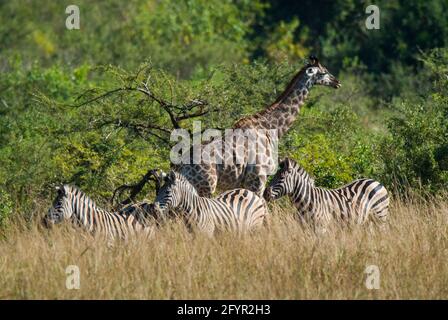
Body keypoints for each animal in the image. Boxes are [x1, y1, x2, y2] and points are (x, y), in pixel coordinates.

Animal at [175, 56, 340, 196]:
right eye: (324, 72)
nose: (337, 82)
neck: (271, 128)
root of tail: (180, 166)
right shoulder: (258, 179)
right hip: (207, 186)